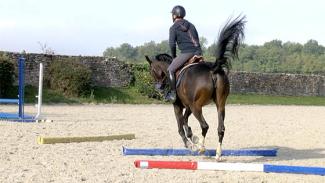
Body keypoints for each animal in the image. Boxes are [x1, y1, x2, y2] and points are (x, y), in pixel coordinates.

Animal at [145, 16, 246, 160]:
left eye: (151, 71)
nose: (158, 87)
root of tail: (213, 69)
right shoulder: (188, 106)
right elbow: (185, 120)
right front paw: (192, 137)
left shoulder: (178, 105)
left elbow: (180, 125)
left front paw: (190, 143)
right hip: (220, 104)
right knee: (221, 128)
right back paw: (217, 154)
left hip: (197, 107)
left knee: (205, 125)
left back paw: (201, 148)